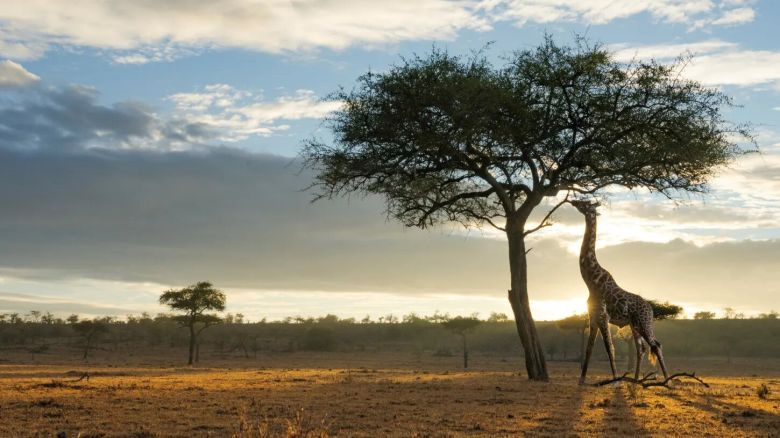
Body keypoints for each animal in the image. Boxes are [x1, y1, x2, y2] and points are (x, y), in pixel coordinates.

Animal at [568, 200, 672, 384]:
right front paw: (581, 381)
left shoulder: (603, 316)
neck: (591, 281)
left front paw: (615, 379)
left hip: (644, 323)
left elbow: (609, 347)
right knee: (641, 348)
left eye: (586, 203)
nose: (574, 201)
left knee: (656, 345)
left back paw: (668, 380)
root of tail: (651, 309)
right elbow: (589, 348)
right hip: (634, 325)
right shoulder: (592, 317)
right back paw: (636, 380)